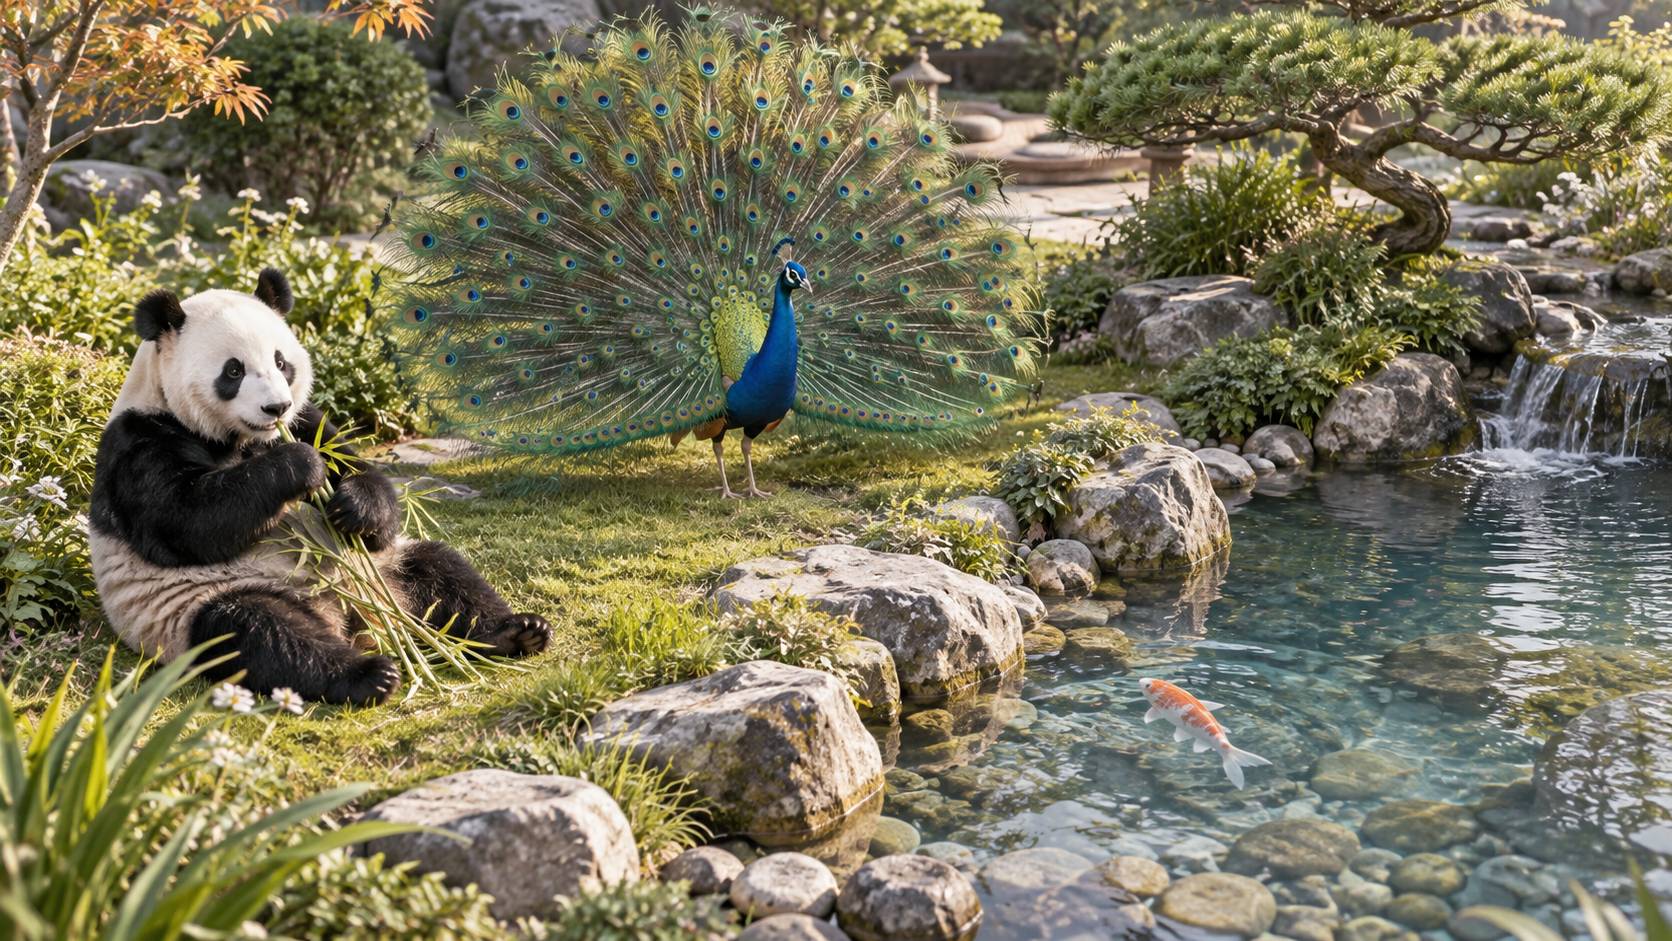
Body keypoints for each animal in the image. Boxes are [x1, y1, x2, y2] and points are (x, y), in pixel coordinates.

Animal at [89, 268, 550, 705]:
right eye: (233, 370)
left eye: (281, 362)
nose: (275, 407)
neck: (244, 440)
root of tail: (350, 615)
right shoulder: (141, 443)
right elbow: (187, 521)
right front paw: (299, 466)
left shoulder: (307, 420)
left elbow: (357, 469)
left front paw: (354, 506)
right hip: (200, 606)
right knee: (262, 632)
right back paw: (369, 674)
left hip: (388, 565)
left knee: (440, 570)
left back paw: (517, 631)